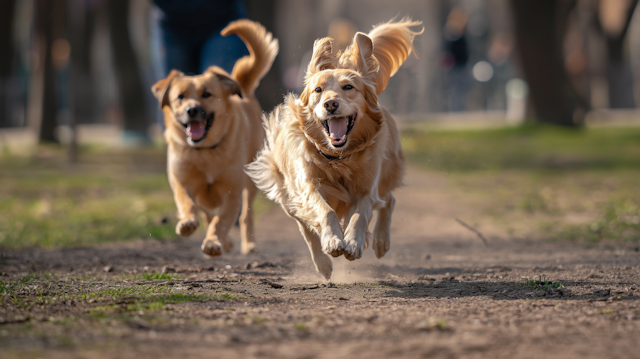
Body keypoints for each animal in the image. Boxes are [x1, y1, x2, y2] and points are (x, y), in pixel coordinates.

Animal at [152, 20, 278, 256]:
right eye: (180, 97)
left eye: (206, 94)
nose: (192, 110)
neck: (206, 151)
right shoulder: (182, 183)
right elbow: (189, 205)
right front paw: (188, 223)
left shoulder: (232, 192)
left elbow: (222, 220)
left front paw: (213, 242)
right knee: (207, 213)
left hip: (250, 182)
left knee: (246, 215)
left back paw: (248, 245)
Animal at [245, 18, 420, 280]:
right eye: (318, 90)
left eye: (348, 87)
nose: (330, 103)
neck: (338, 159)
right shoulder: (308, 187)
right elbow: (324, 211)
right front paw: (333, 242)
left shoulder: (366, 189)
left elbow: (360, 214)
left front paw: (354, 243)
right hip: (288, 197)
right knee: (307, 230)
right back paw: (324, 265)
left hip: (389, 168)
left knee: (388, 199)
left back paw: (380, 242)